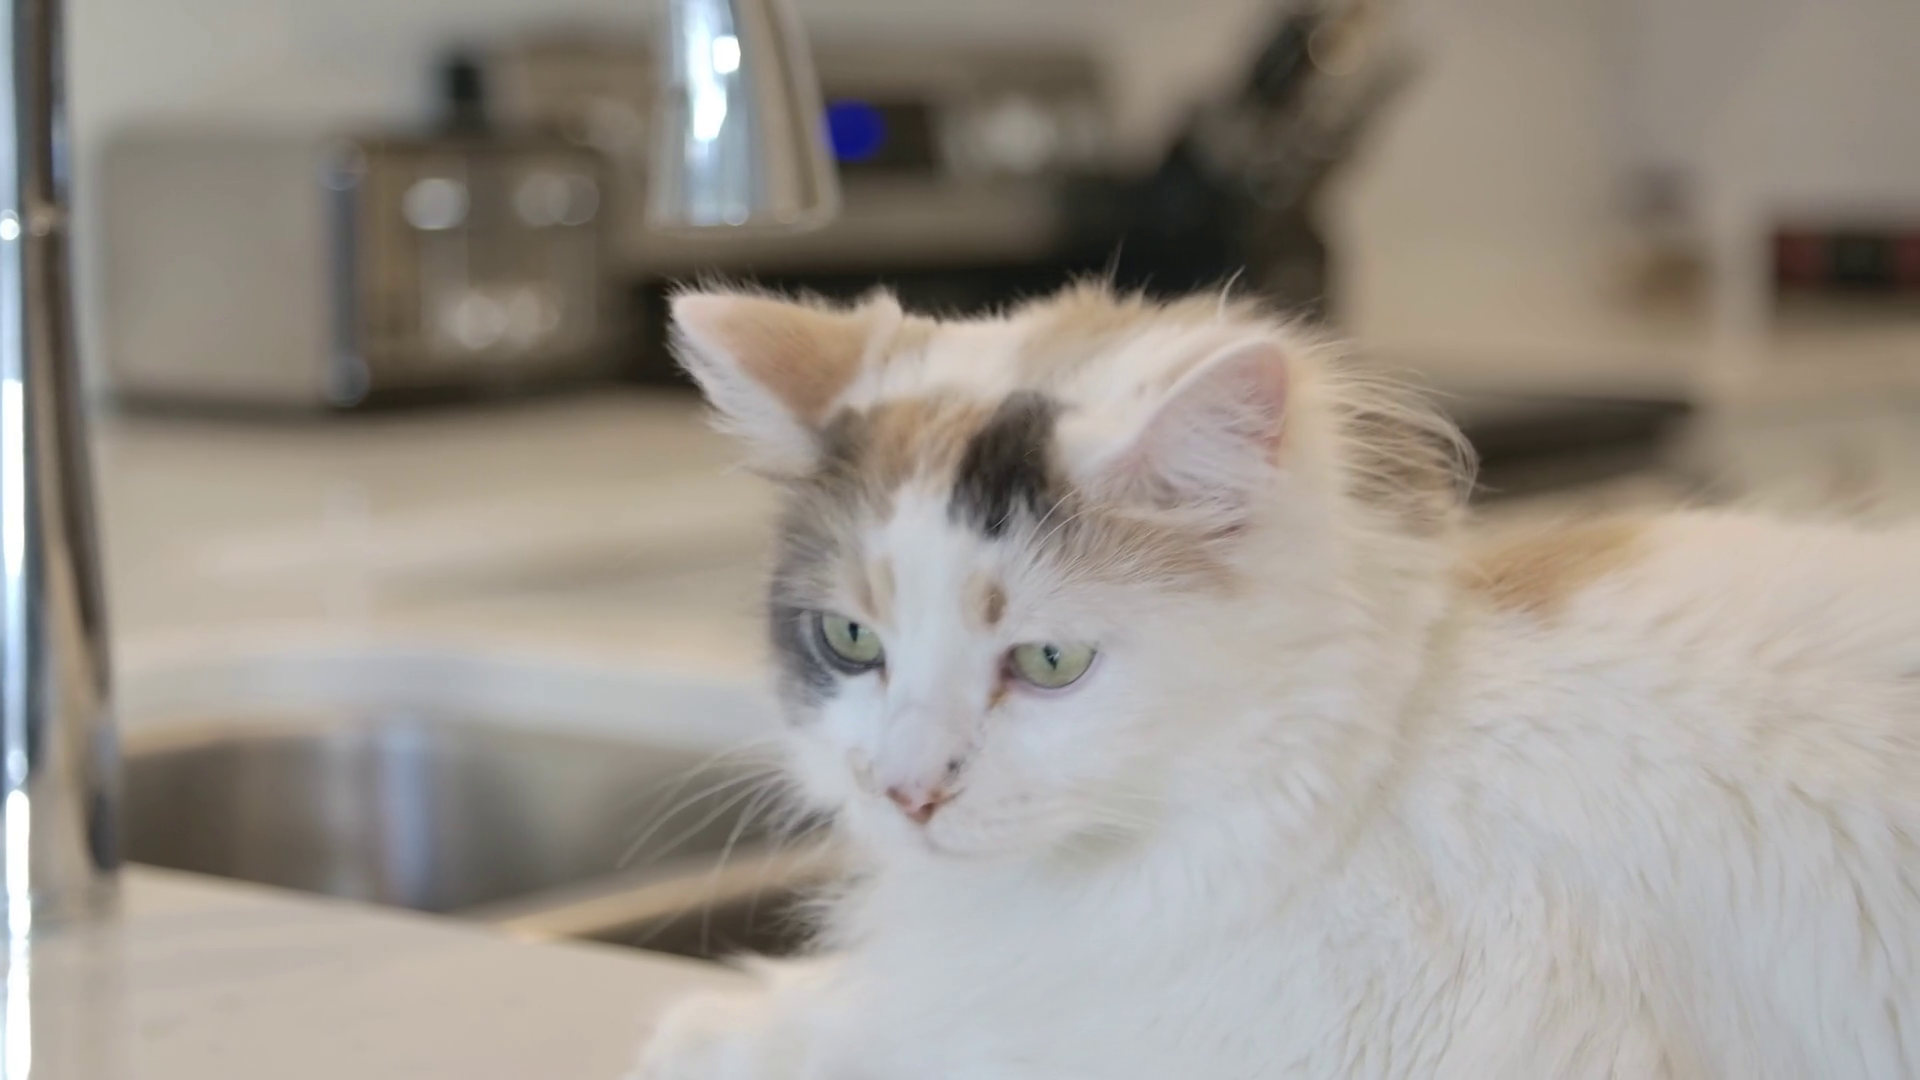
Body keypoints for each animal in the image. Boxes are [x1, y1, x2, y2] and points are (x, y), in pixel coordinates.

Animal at [634, 283, 1920, 1079]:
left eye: (1049, 663)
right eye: (853, 640)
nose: (906, 792)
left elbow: (938, 1038)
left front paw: (726, 1029)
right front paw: (719, 1023)